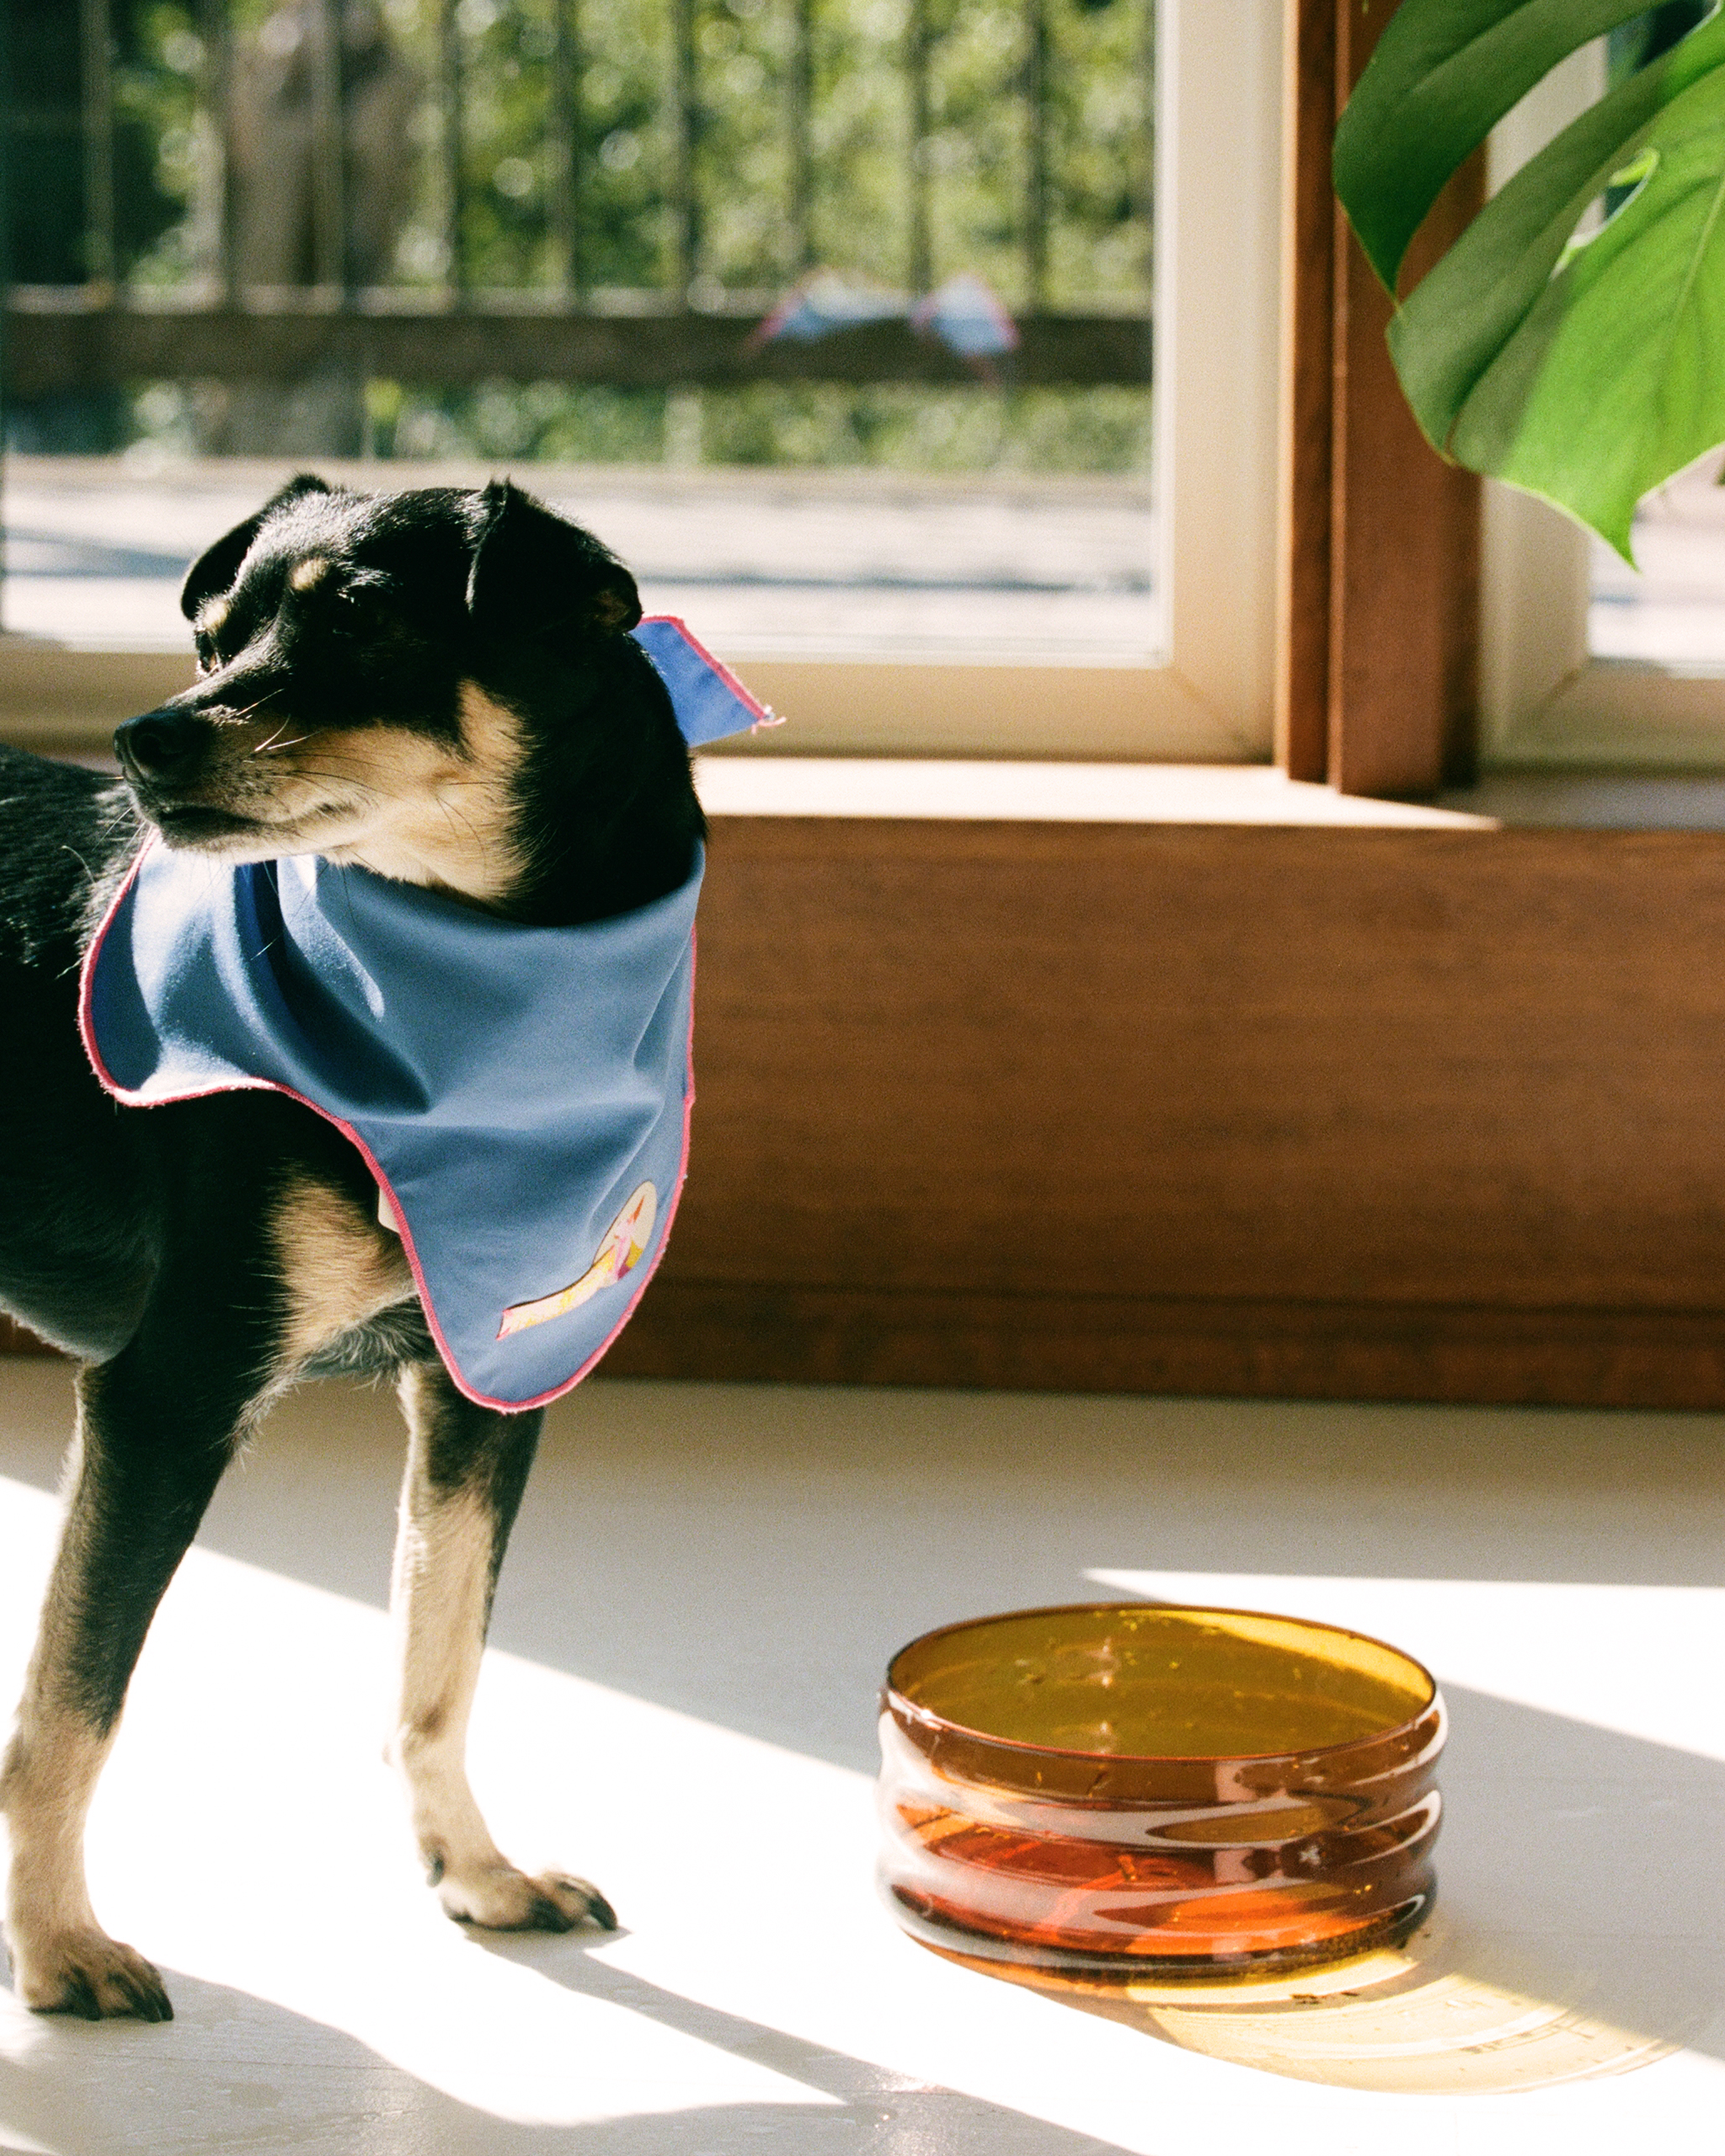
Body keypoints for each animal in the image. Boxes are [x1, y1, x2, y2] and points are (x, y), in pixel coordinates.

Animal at [5, 472, 707, 2018]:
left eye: (357, 629)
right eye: (210, 638)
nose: (141, 739)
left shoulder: (481, 1391)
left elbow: (434, 1669)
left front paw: (473, 1873)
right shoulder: (166, 1399)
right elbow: (69, 1713)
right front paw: (56, 1946)